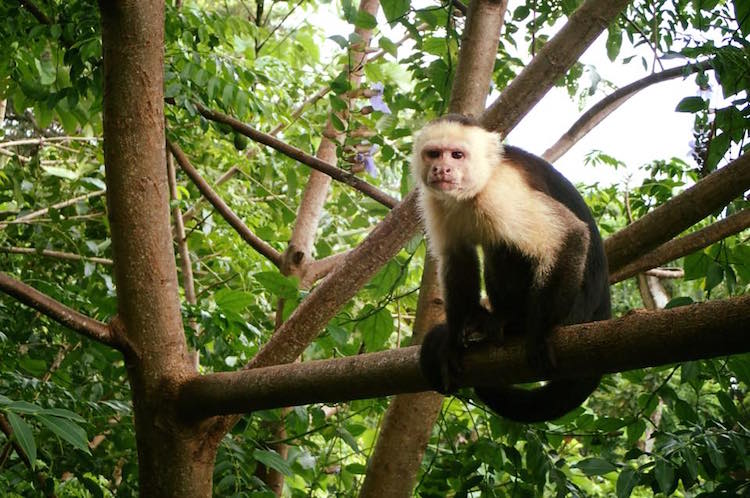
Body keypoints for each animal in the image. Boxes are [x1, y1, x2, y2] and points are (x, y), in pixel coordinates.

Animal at [414, 115, 612, 422]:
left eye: (457, 155)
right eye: (434, 153)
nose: (442, 169)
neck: (475, 189)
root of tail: (603, 306)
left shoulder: (502, 192)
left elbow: (571, 234)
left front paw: (539, 333)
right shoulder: (435, 201)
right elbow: (458, 259)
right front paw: (452, 341)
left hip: (575, 311)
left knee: (506, 245)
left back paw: (514, 323)